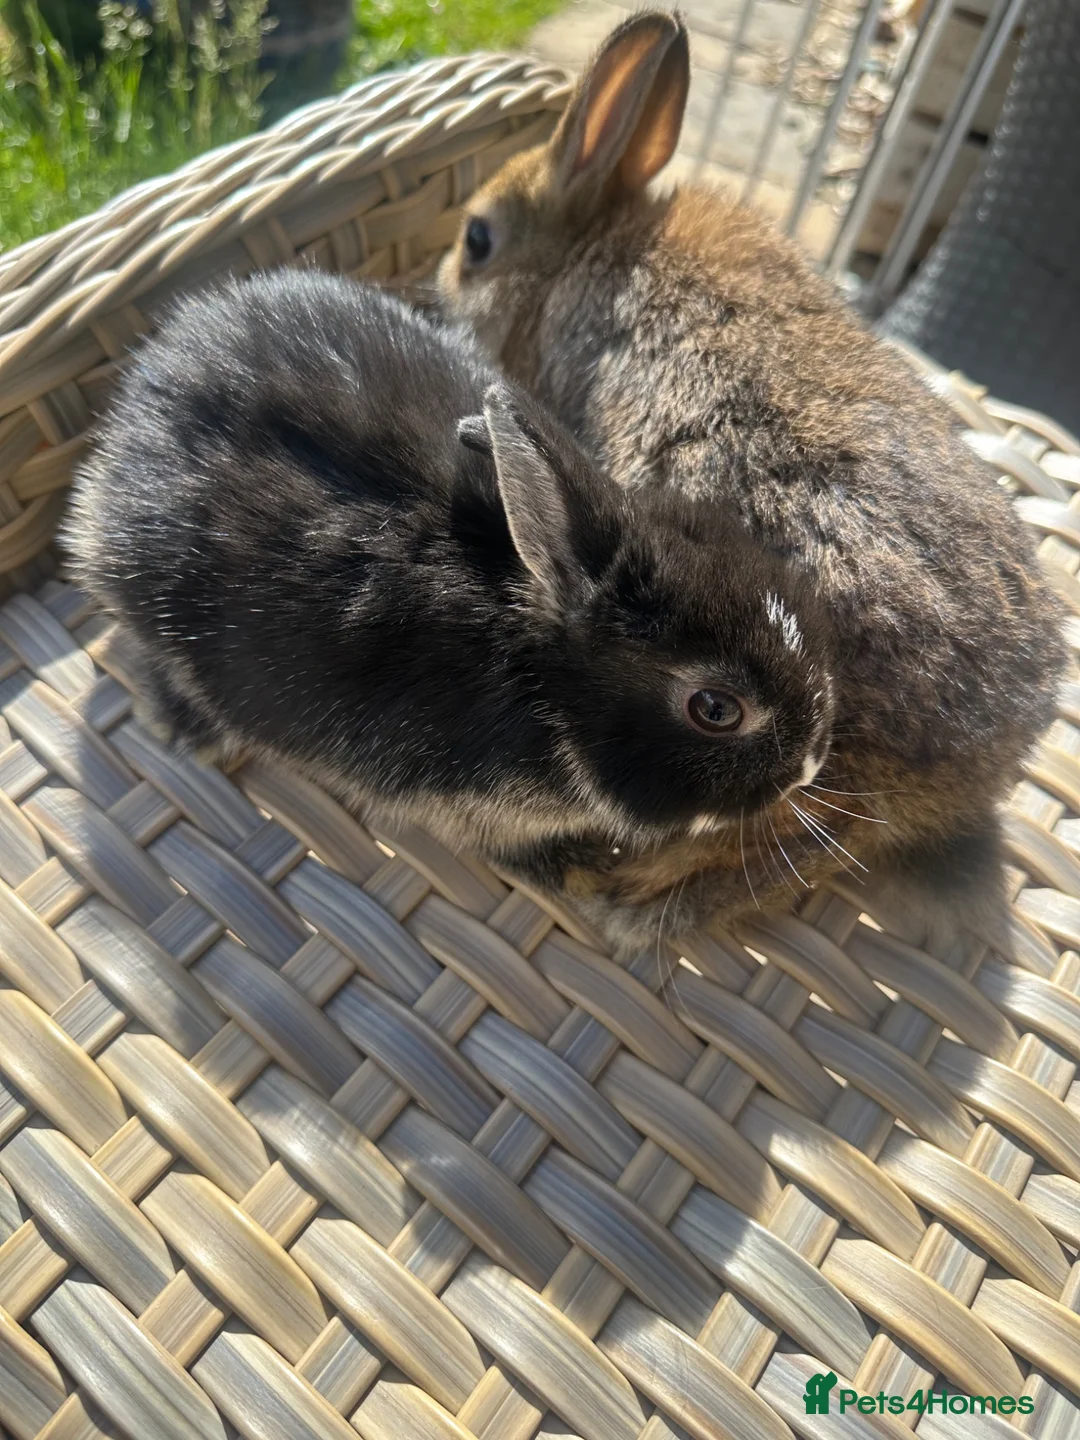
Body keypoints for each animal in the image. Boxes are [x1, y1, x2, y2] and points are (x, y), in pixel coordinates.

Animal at [437, 9, 1068, 955]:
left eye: (478, 239)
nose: (443, 280)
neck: (588, 248)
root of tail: (981, 762)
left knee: (789, 833)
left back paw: (633, 899)